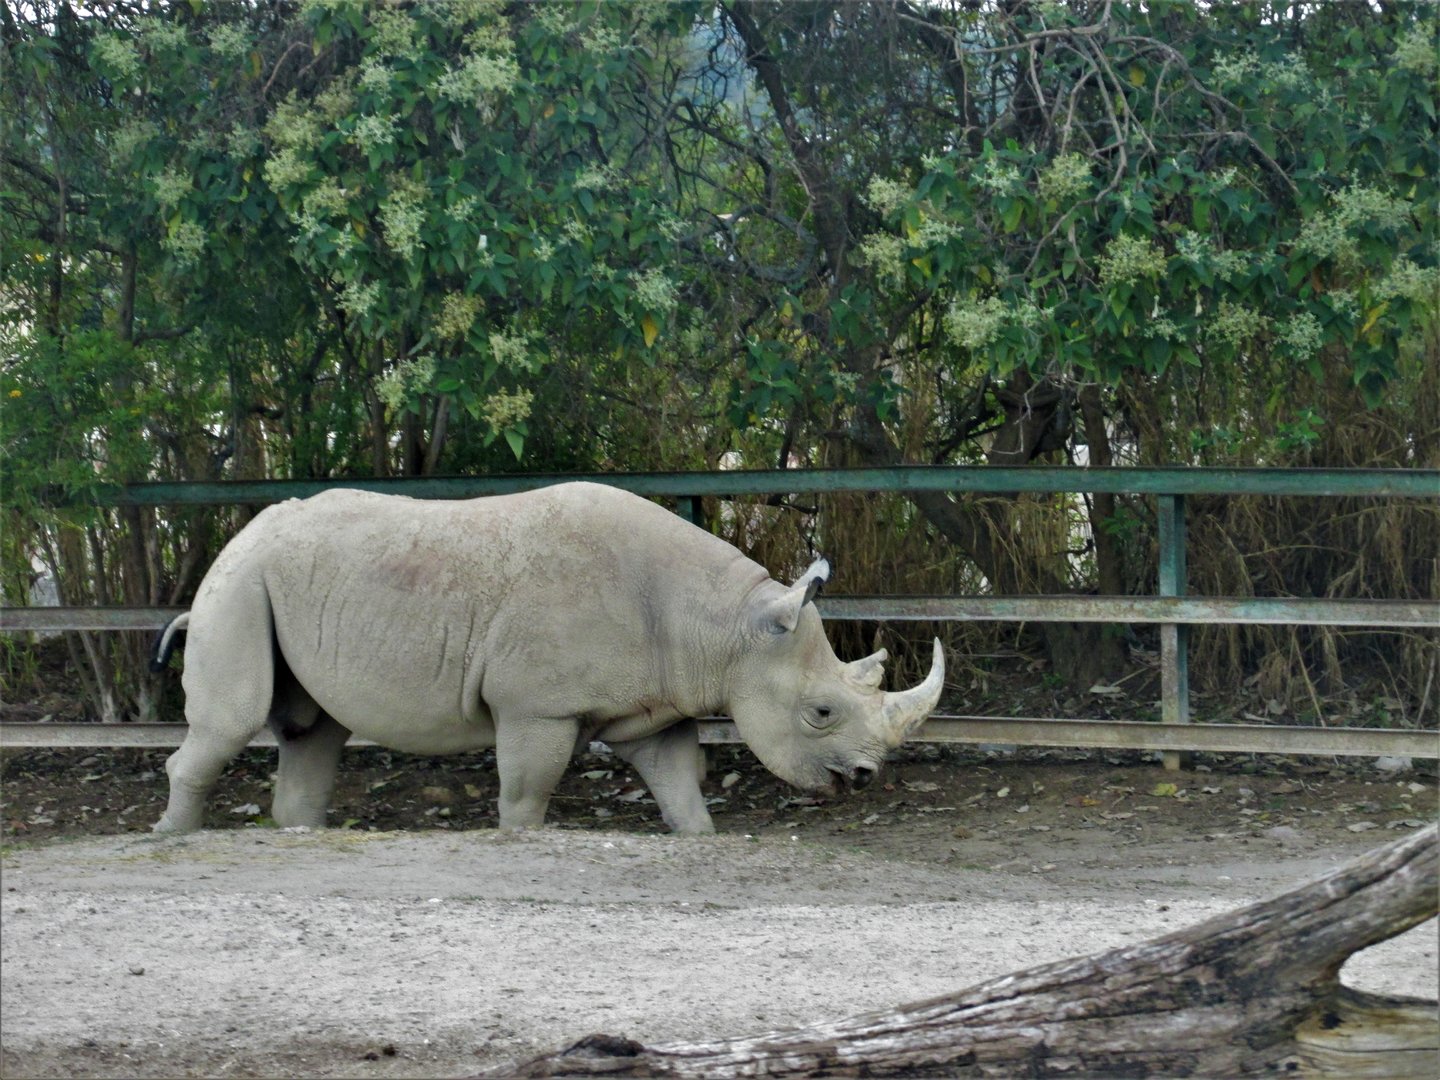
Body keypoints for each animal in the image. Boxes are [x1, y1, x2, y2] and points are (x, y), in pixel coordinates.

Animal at [149, 482, 944, 835]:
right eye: (821, 711)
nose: (867, 778)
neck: (725, 629)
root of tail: (240, 534)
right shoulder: (537, 707)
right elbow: (526, 793)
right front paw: (518, 838)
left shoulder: (657, 705)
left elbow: (682, 788)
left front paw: (699, 837)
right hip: (237, 582)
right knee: (234, 722)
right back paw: (172, 839)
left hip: (274, 583)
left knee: (313, 731)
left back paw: (297, 835)